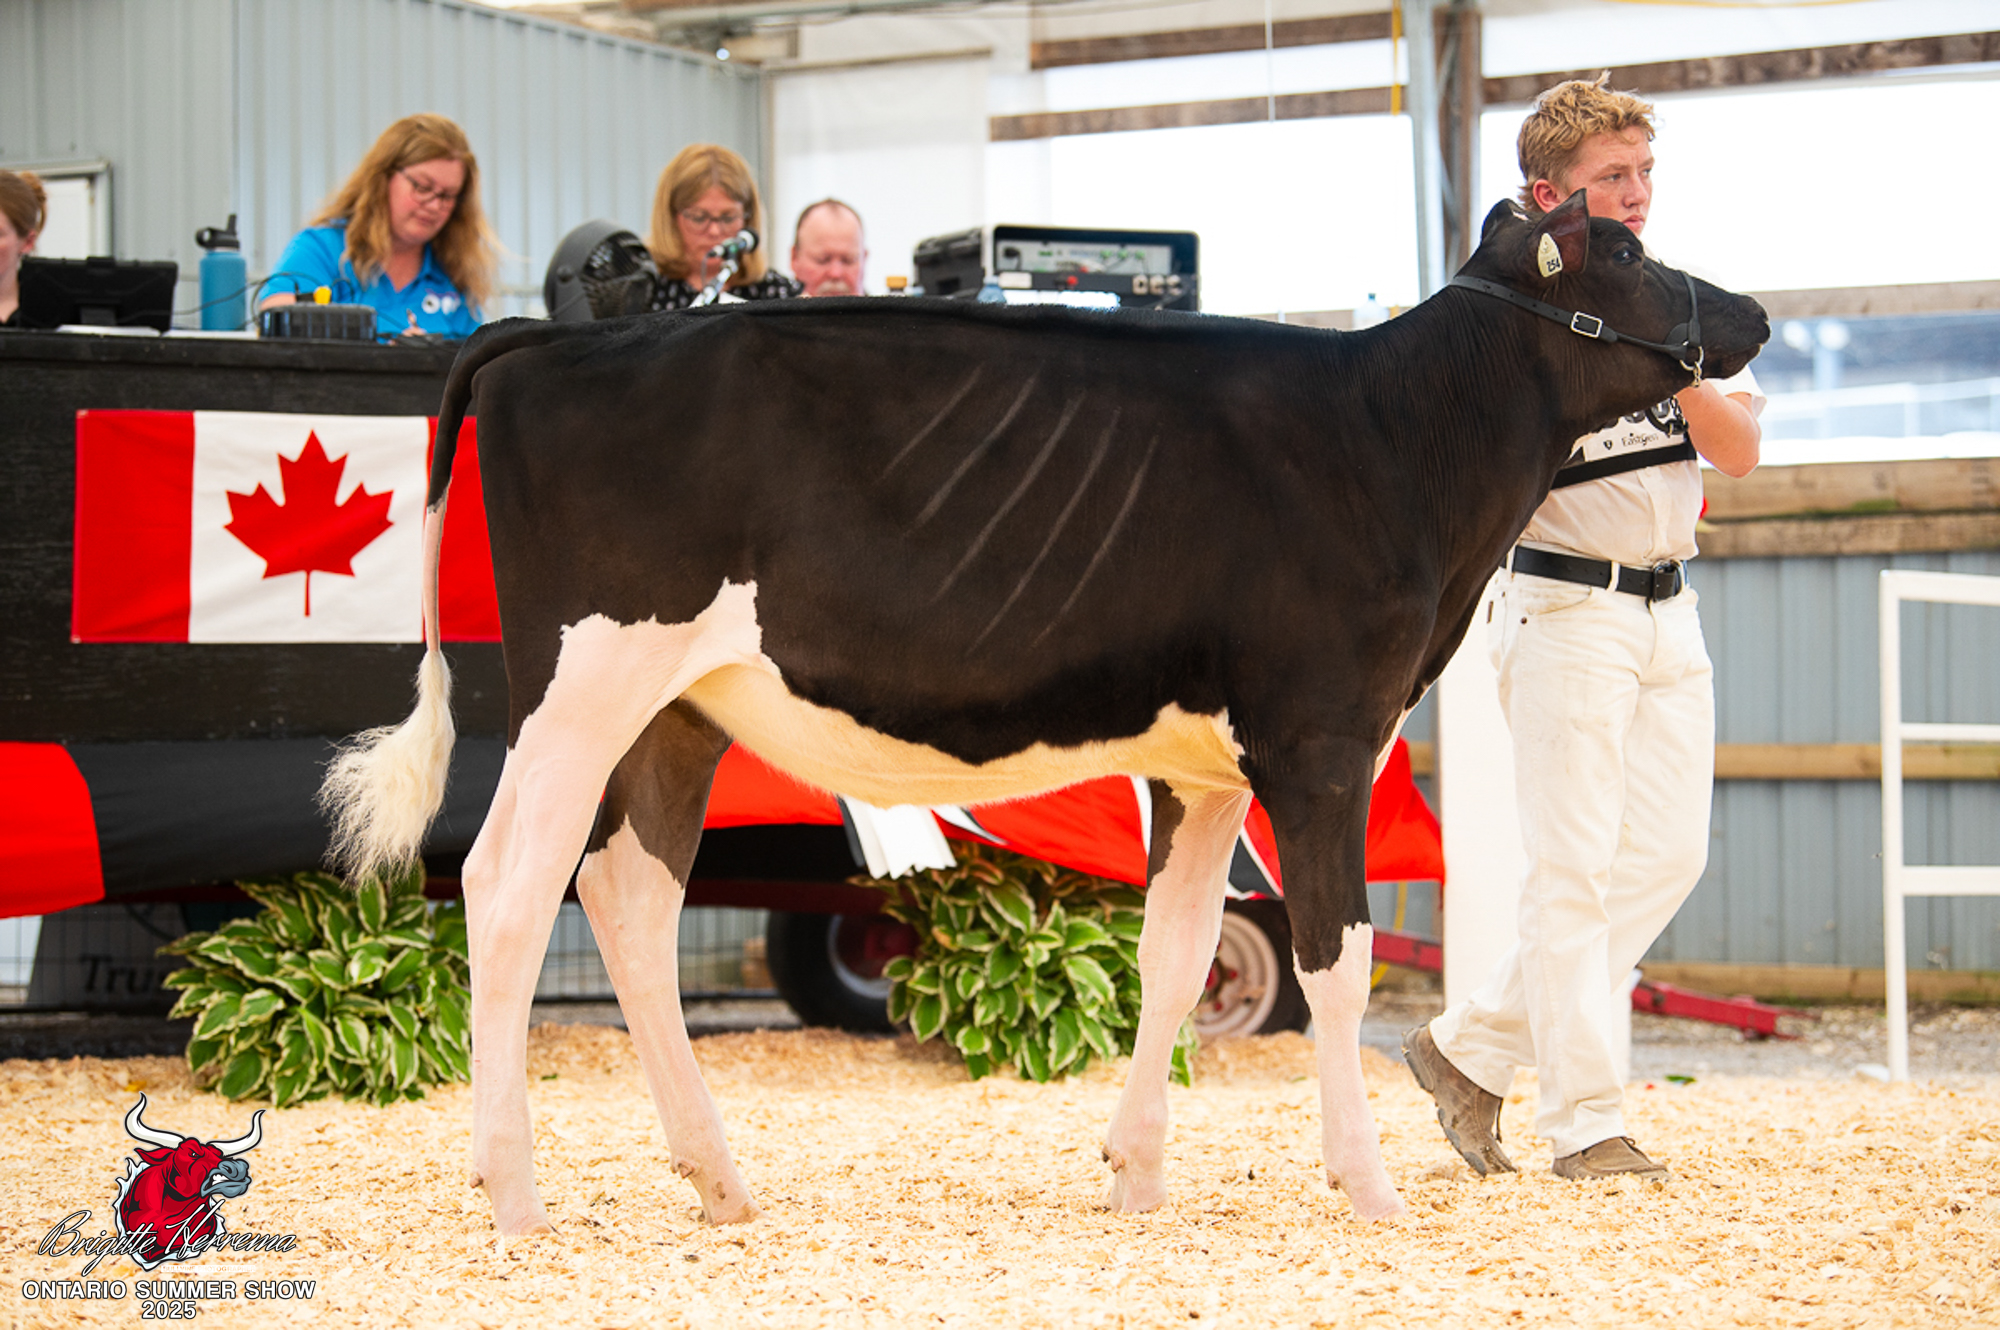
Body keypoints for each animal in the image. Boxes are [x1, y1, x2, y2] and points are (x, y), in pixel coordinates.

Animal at [322, 192, 1767, 1236]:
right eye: (1622, 241)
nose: (1751, 311)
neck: (1394, 443)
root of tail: (562, 338)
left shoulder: (1206, 765)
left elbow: (1177, 954)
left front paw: (1136, 1174)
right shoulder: (1320, 738)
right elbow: (1335, 962)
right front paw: (1368, 1189)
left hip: (679, 708)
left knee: (627, 891)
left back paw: (719, 1180)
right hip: (580, 685)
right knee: (507, 885)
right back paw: (513, 1193)